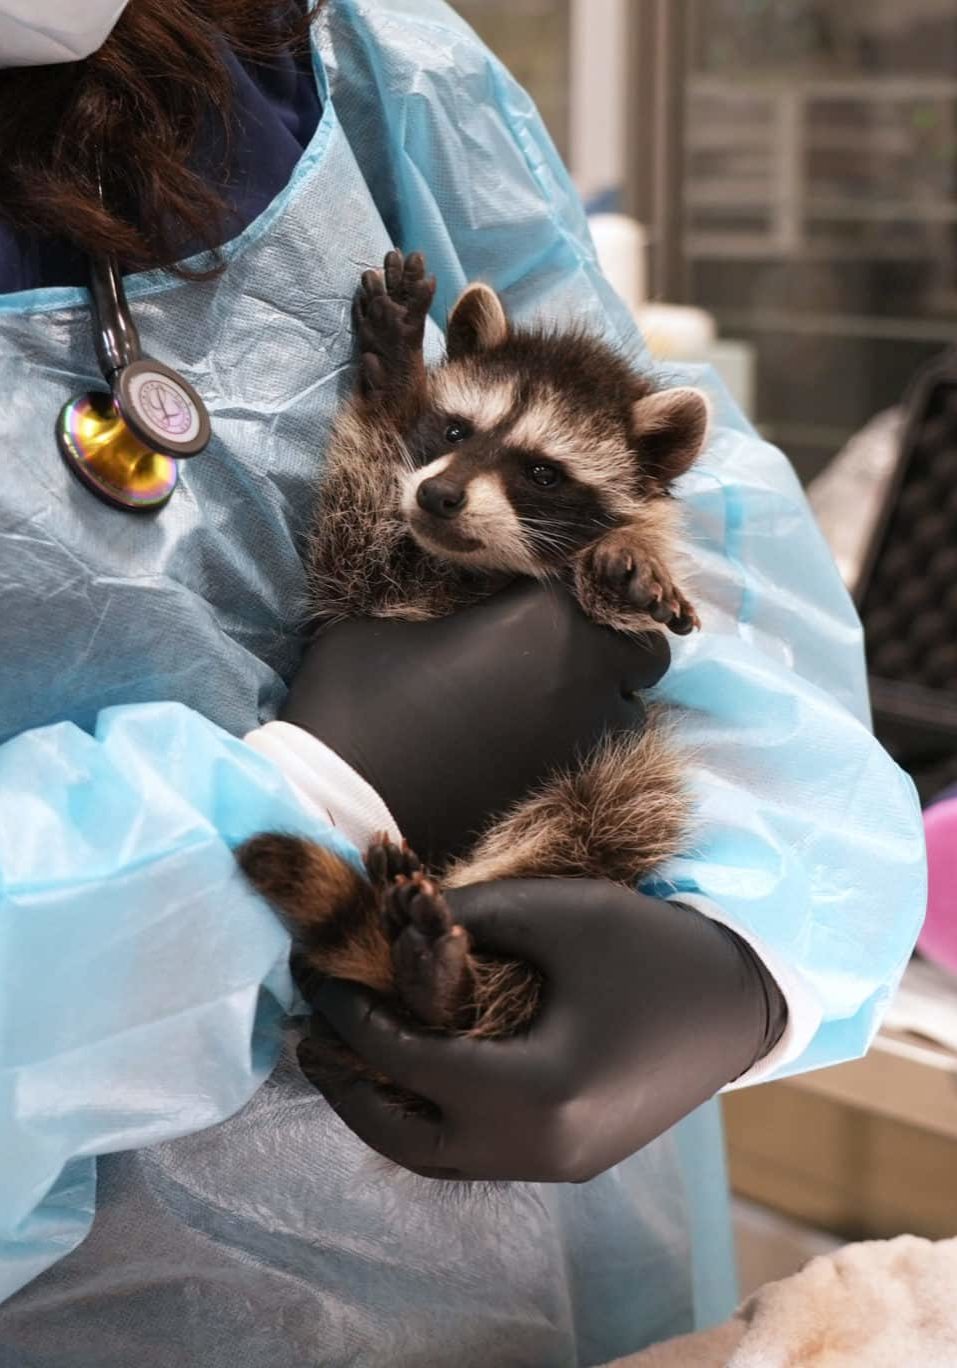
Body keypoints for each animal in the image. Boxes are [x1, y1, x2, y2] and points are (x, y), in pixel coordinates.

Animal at [239, 249, 709, 1046]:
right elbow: (355, 524)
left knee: (618, 812)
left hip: (600, 795)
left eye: (543, 471)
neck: (476, 571)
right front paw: (394, 390)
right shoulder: (357, 583)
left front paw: (626, 562)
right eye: (456, 432)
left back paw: (449, 966)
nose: (438, 497)